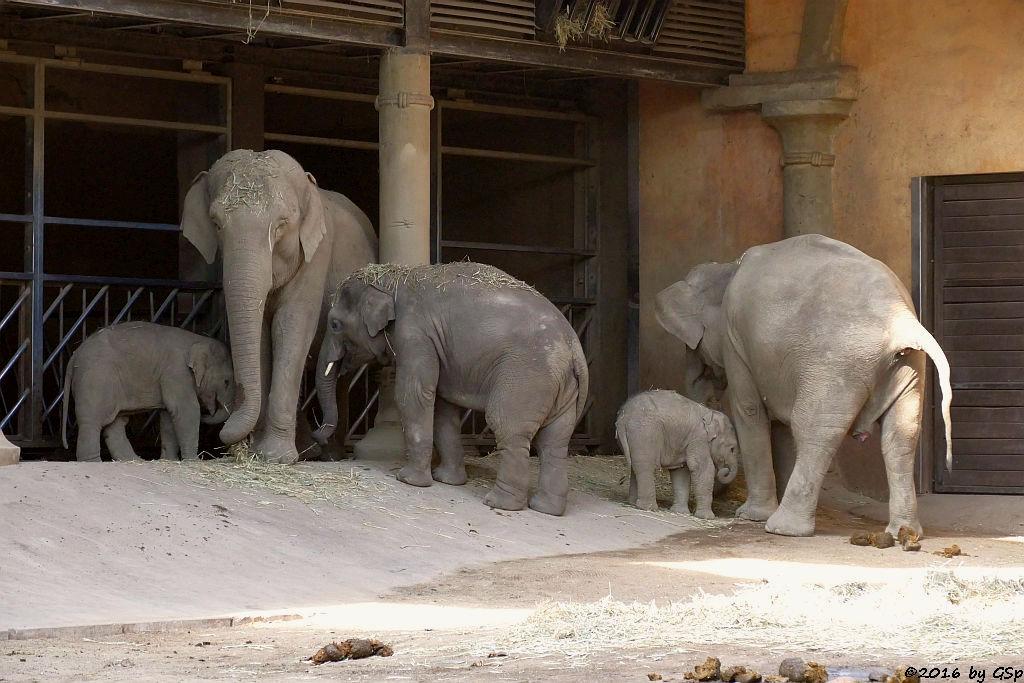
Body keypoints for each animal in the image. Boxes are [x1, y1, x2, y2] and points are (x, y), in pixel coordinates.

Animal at [61, 323, 234, 462]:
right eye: (226, 381)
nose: (208, 413)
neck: (198, 340)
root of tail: (74, 356)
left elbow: (168, 416)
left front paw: (169, 460)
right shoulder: (176, 373)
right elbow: (186, 410)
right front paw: (193, 461)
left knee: (115, 423)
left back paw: (133, 461)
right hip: (95, 380)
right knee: (92, 421)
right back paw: (93, 462)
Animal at [182, 149, 378, 464]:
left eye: (282, 224)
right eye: (216, 224)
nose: (223, 435)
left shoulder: (316, 256)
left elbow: (290, 326)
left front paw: (275, 457)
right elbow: (261, 334)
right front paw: (258, 452)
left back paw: (329, 454)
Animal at [614, 389, 737, 518]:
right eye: (732, 449)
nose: (725, 469)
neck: (710, 412)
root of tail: (623, 418)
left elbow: (681, 472)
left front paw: (679, 512)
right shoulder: (698, 439)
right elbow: (702, 468)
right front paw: (707, 517)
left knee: (635, 465)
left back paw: (633, 503)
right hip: (644, 433)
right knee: (645, 466)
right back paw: (649, 508)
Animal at [655, 235, 950, 540]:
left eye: (697, 349)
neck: (727, 267)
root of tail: (902, 320)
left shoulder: (735, 338)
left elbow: (749, 411)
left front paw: (751, 516)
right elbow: (779, 425)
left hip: (837, 365)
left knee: (814, 429)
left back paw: (783, 528)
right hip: (909, 367)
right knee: (901, 436)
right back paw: (903, 532)